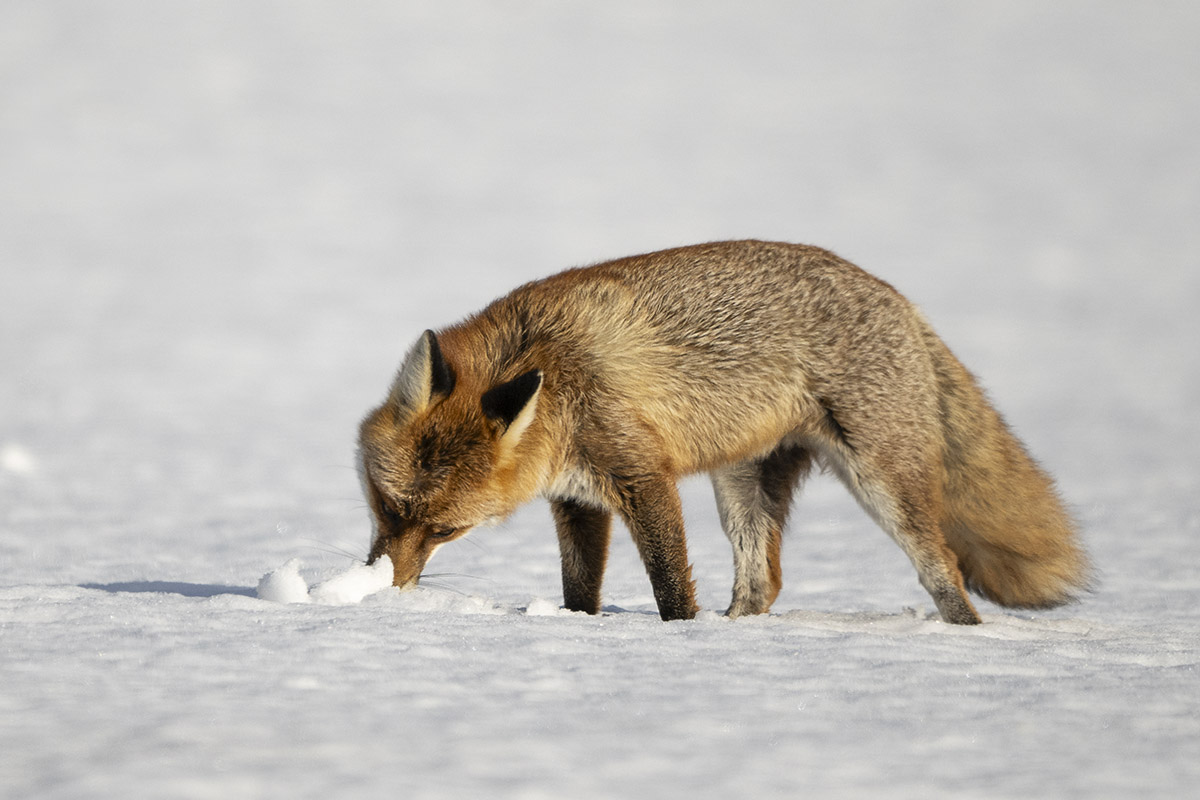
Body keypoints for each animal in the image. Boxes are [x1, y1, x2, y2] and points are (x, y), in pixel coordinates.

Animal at [352, 241, 1089, 623]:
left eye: (445, 531)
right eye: (386, 507)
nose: (385, 588)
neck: (551, 366)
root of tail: (899, 298)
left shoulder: (641, 475)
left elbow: (670, 585)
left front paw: (683, 645)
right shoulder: (577, 499)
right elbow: (580, 591)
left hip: (884, 487)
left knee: (945, 574)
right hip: (740, 489)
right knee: (763, 584)